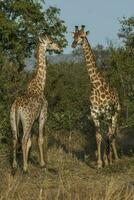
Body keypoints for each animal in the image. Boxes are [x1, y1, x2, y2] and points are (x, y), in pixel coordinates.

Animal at [10, 32, 61, 172]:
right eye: (51, 42)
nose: (59, 47)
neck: (39, 85)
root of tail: (16, 106)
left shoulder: (34, 119)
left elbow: (30, 142)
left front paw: (28, 159)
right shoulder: (43, 115)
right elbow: (40, 139)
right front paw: (42, 163)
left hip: (13, 119)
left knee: (15, 138)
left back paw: (15, 165)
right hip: (27, 120)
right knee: (23, 139)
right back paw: (25, 168)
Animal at [71, 25, 120, 168]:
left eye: (82, 36)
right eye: (73, 36)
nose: (73, 44)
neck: (97, 86)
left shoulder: (108, 114)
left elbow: (109, 136)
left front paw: (108, 161)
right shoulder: (95, 114)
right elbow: (98, 137)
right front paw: (99, 163)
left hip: (115, 114)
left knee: (112, 134)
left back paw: (115, 159)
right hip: (106, 118)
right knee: (108, 134)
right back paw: (107, 158)